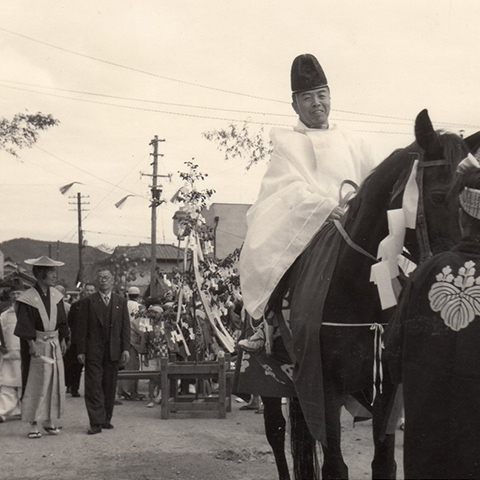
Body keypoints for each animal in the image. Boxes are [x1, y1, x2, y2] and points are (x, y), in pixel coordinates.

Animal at [258, 109, 480, 480]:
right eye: (437, 197)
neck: (356, 294)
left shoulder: (388, 389)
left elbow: (384, 463)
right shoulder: (323, 386)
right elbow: (334, 466)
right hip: (268, 373)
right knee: (276, 432)